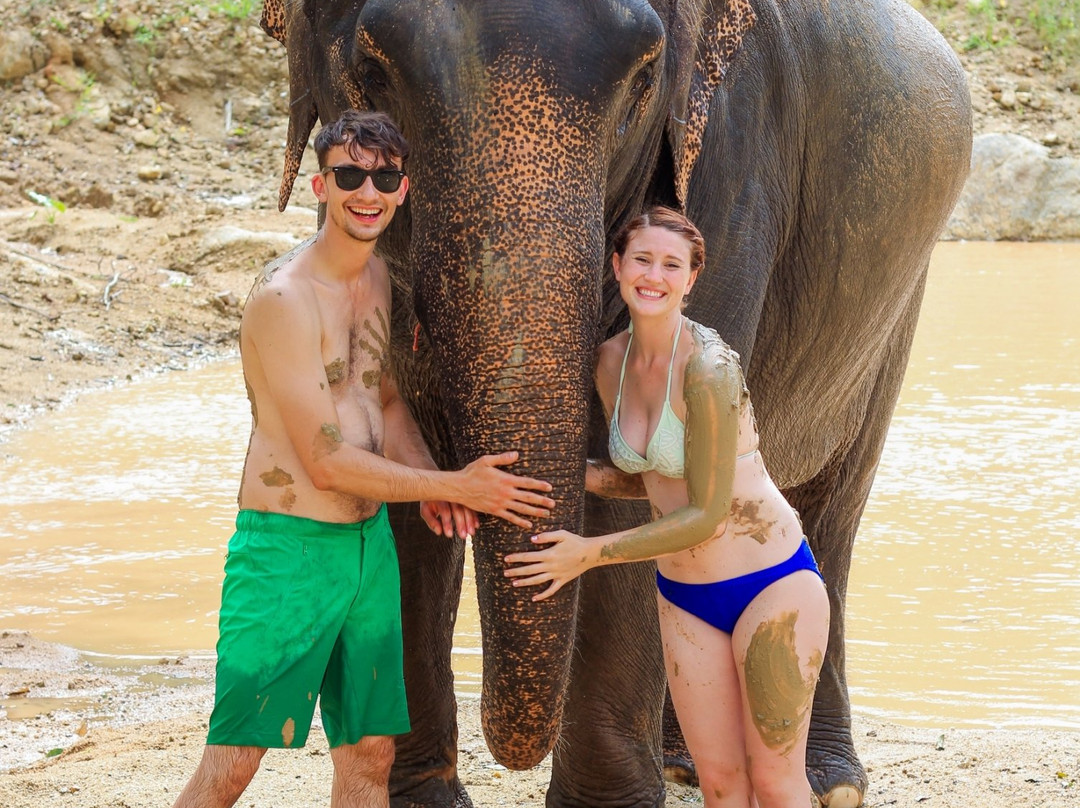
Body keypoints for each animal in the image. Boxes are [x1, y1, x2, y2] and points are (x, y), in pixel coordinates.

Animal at [257, 1, 972, 806]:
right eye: (373, 70)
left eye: (644, 77)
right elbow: (398, 464)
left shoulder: (732, 166)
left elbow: (631, 499)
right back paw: (685, 762)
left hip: (894, 311)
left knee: (830, 512)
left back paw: (826, 780)